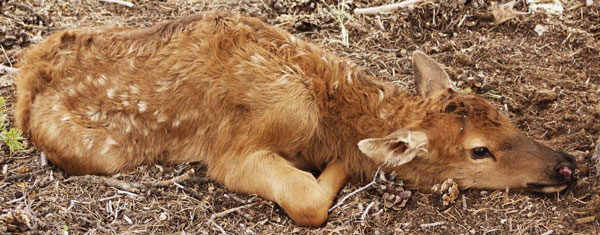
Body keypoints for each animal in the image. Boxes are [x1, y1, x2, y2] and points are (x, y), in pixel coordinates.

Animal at [15, 12, 576, 226]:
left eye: (505, 117)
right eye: (479, 150)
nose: (566, 164)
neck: (328, 113)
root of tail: (27, 77)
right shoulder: (233, 152)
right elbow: (307, 201)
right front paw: (345, 167)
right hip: (100, 152)